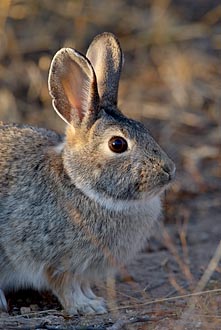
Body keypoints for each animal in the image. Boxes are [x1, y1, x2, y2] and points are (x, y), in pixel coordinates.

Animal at [0, 32, 176, 314]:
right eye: (118, 144)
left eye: (144, 127)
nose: (169, 170)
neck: (79, 185)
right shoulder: (55, 261)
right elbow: (65, 287)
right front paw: (86, 308)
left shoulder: (81, 269)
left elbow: (81, 285)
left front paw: (94, 300)